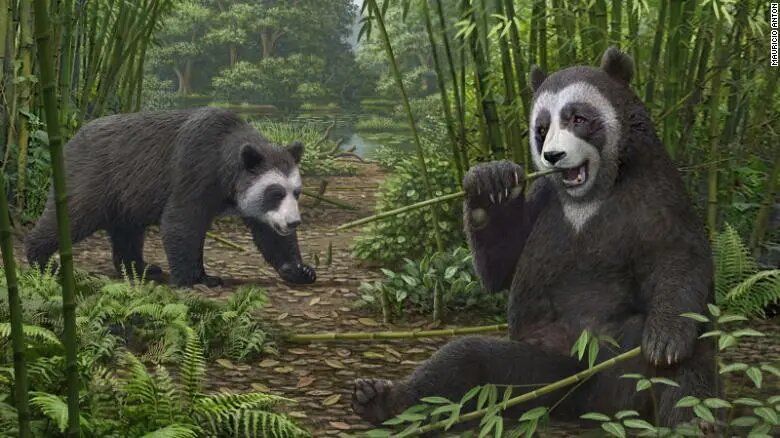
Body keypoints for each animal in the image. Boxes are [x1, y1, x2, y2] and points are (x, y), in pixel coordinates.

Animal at [26, 107, 316, 287]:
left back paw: (141, 268)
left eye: (296, 192)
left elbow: (268, 232)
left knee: (127, 231)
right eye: (275, 193)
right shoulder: (196, 166)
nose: (293, 222)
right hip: (94, 175)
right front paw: (197, 278)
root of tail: (71, 139)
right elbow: (181, 221)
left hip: (126, 194)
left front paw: (299, 269)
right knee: (73, 215)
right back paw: (40, 259)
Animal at [351, 48, 716, 429]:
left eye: (578, 118)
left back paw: (692, 420)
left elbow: (681, 256)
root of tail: (582, 406)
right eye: (541, 129)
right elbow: (503, 265)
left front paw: (666, 339)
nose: (553, 156)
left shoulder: (656, 189)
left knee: (687, 361)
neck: (588, 194)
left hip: (620, 368)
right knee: (463, 362)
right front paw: (489, 182)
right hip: (536, 370)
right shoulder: (545, 197)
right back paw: (380, 400)